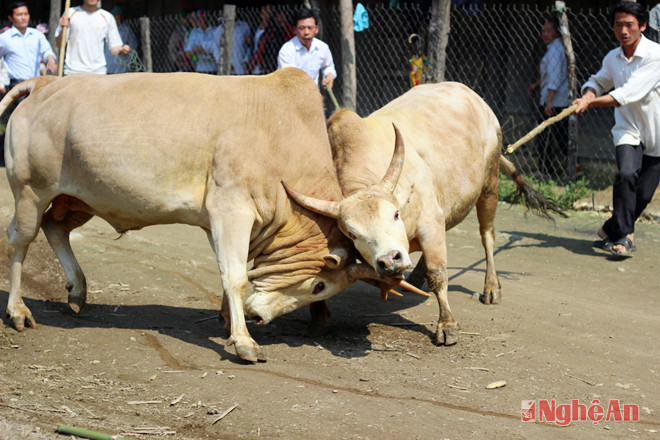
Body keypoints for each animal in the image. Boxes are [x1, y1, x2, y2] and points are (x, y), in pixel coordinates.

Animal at [1, 69, 418, 362]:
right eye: (318, 286)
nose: (259, 317)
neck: (279, 143)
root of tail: (44, 83)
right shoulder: (231, 211)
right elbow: (235, 276)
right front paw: (244, 341)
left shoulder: (223, 222)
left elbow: (228, 272)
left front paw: (228, 323)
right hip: (30, 191)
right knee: (20, 242)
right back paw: (19, 311)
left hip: (78, 199)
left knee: (55, 227)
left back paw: (78, 290)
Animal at [282, 81, 564, 346]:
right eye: (351, 233)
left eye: (395, 214)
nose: (391, 260)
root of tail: (475, 99)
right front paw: (318, 318)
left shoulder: (430, 222)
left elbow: (438, 273)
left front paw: (447, 326)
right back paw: (417, 278)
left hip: (489, 186)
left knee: (487, 236)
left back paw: (491, 288)